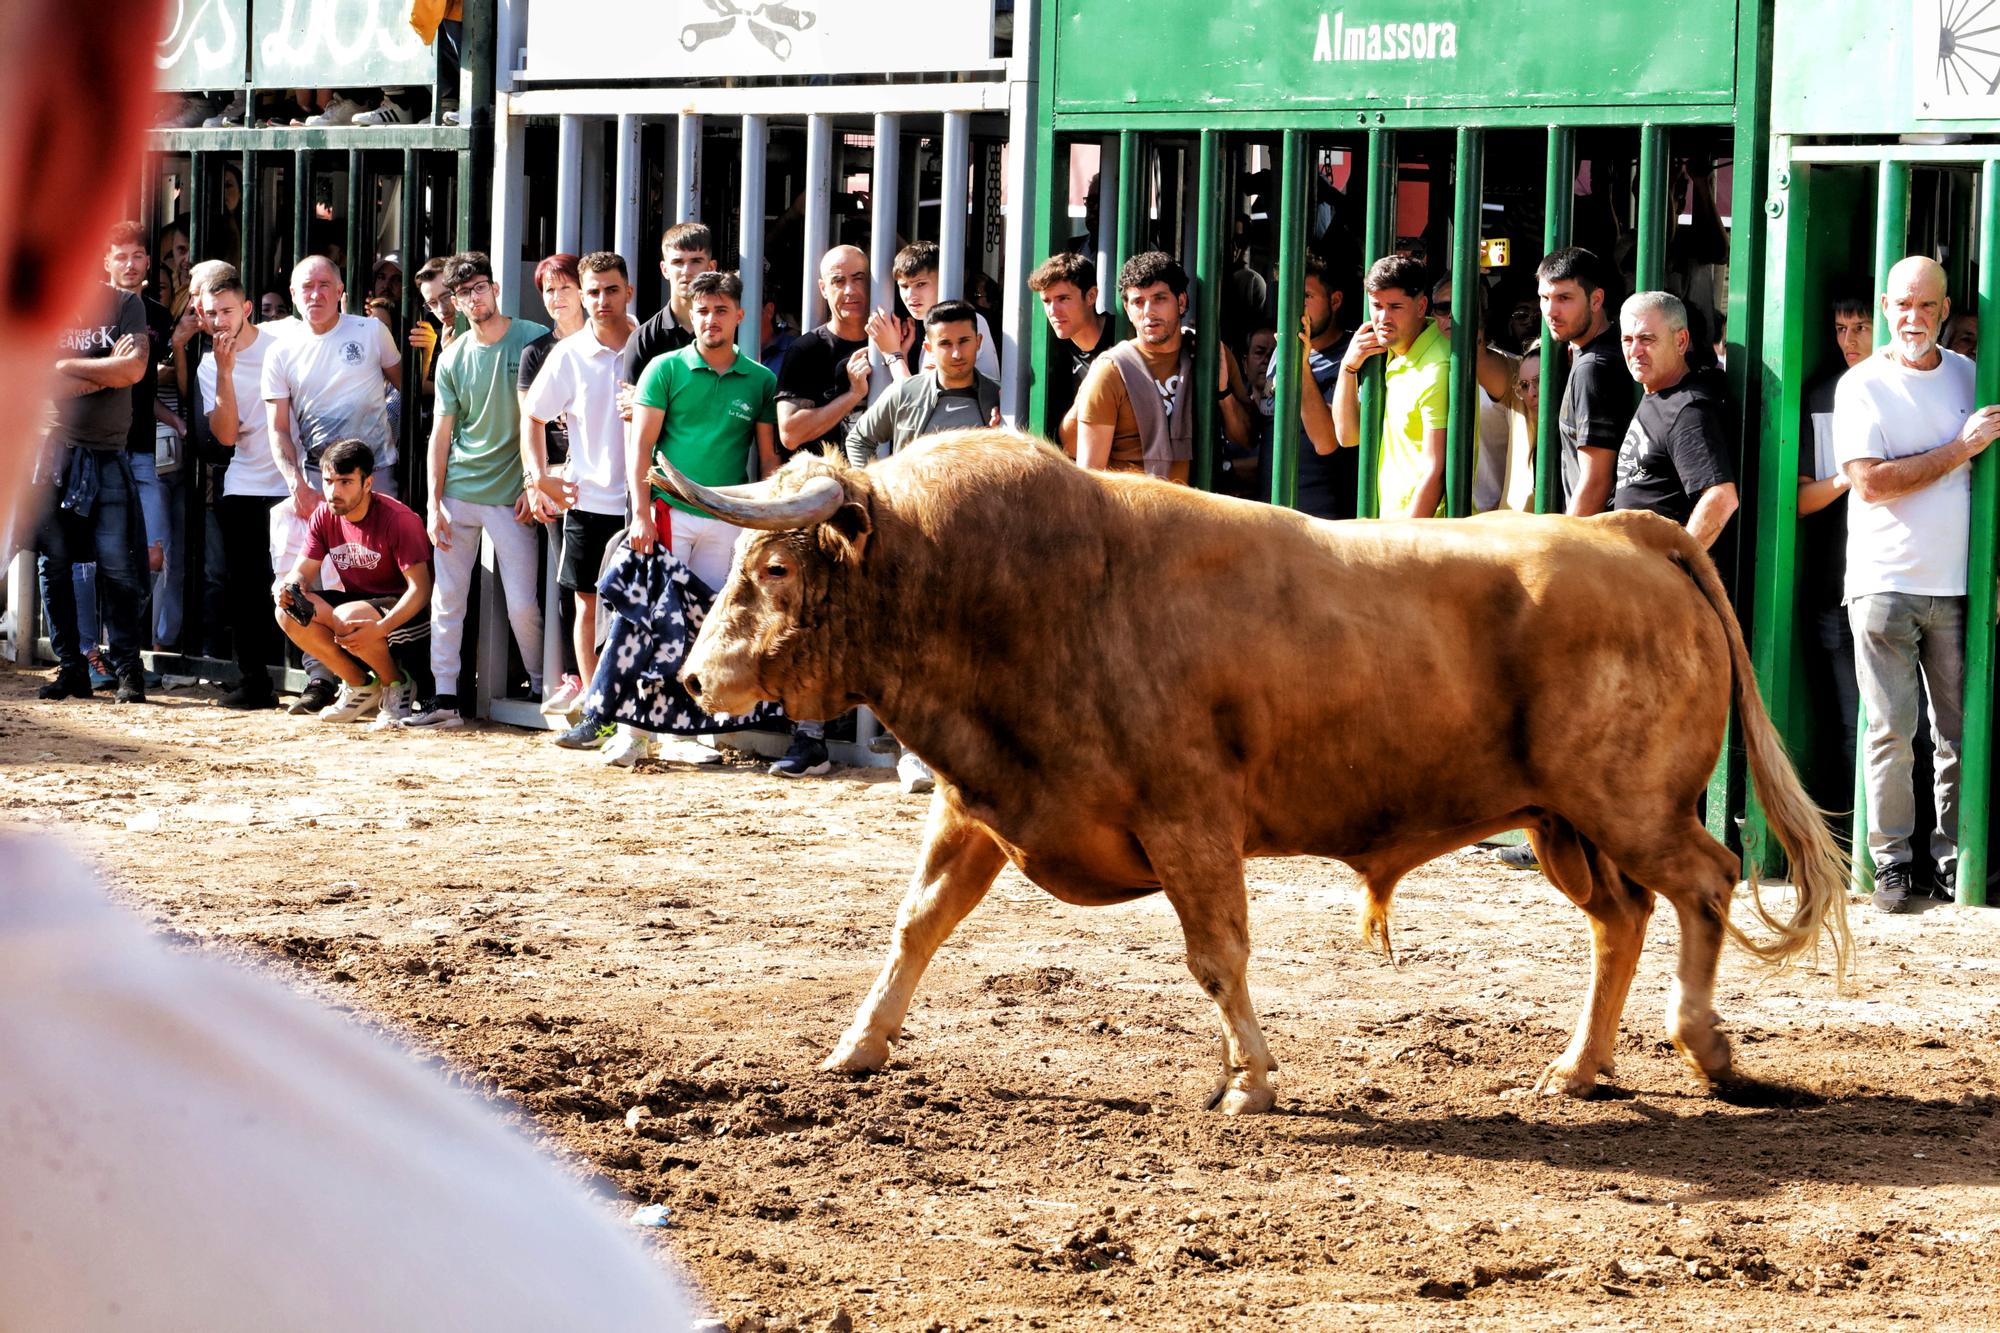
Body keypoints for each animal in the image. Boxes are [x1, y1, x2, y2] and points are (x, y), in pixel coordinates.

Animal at [660, 430, 1856, 1104]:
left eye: (774, 567)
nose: (692, 677)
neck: (1016, 590)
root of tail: (1625, 532)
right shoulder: (979, 805)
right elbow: (916, 925)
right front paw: (856, 1046)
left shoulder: (1190, 818)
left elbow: (1216, 952)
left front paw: (1251, 1081)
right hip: (1561, 819)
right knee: (1623, 918)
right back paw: (1576, 1066)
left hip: (1629, 804)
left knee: (1702, 883)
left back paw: (1703, 1046)